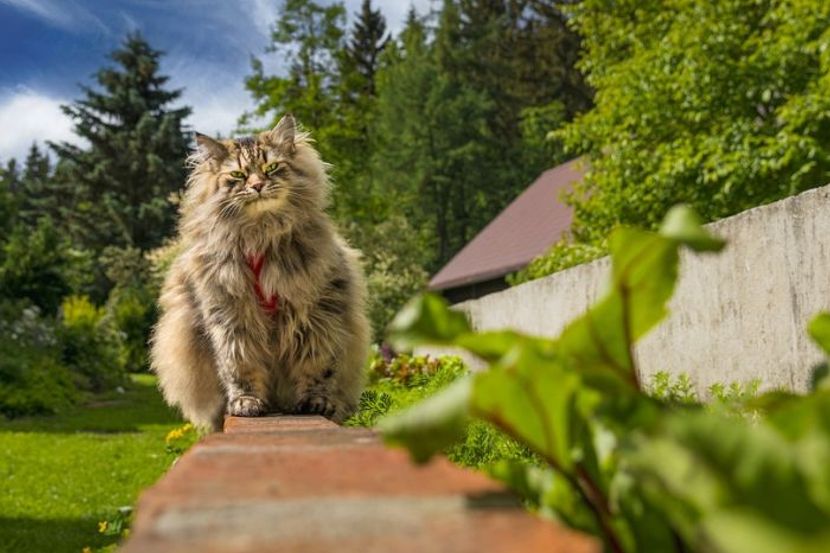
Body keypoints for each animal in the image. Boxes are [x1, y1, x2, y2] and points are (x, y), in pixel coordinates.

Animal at [150, 114, 369, 430]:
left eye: (271, 168)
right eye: (238, 175)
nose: (257, 185)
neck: (260, 234)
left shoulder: (319, 312)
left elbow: (317, 364)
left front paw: (315, 402)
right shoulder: (229, 316)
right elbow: (239, 366)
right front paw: (246, 402)